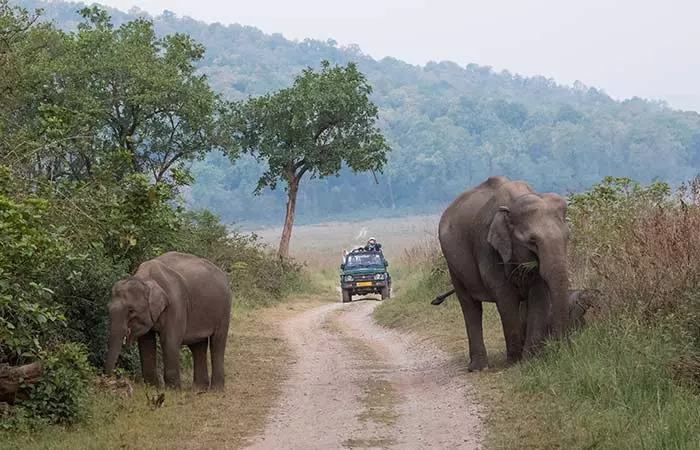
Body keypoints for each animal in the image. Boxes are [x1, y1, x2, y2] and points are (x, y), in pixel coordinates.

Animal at [103, 251, 232, 388]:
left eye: (131, 311)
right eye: (108, 309)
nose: (110, 380)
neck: (145, 278)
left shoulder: (176, 303)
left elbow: (170, 340)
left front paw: (172, 390)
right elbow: (146, 343)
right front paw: (153, 387)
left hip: (224, 308)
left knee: (217, 343)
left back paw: (216, 389)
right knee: (198, 345)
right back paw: (198, 389)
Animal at [440, 175, 572, 370]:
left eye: (567, 237)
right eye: (532, 241)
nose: (562, 348)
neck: (515, 201)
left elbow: (538, 295)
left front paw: (531, 359)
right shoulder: (487, 248)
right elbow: (505, 296)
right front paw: (515, 361)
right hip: (453, 264)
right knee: (470, 305)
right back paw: (479, 367)